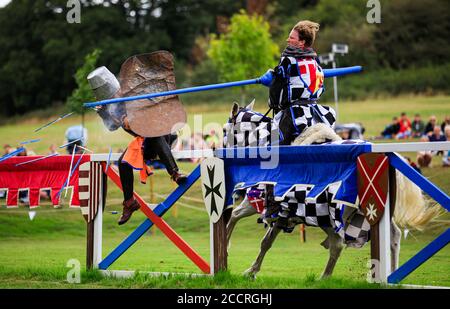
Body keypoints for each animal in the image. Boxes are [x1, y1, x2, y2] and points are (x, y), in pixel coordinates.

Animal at [223, 101, 442, 280]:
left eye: (225, 129)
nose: (224, 150)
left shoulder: (261, 202)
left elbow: (239, 218)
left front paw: (230, 250)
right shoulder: (283, 212)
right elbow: (264, 239)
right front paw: (248, 267)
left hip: (330, 215)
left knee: (337, 243)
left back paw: (324, 277)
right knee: (393, 237)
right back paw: (391, 274)